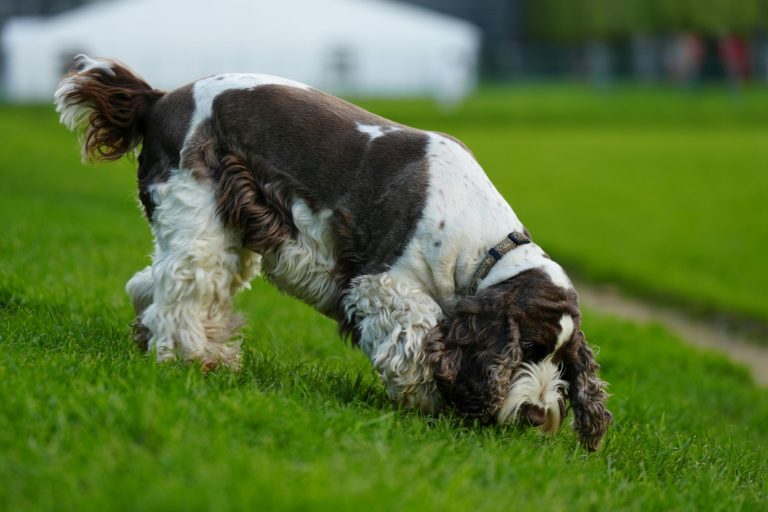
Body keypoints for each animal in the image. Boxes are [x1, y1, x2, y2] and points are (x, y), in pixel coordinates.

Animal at [54, 55, 612, 448]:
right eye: (528, 349)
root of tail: (158, 98)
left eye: (565, 365)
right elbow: (416, 339)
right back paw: (194, 361)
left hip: (222, 228)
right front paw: (430, 402)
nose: (537, 415)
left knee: (150, 284)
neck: (483, 249)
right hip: (198, 214)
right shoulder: (382, 282)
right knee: (179, 292)